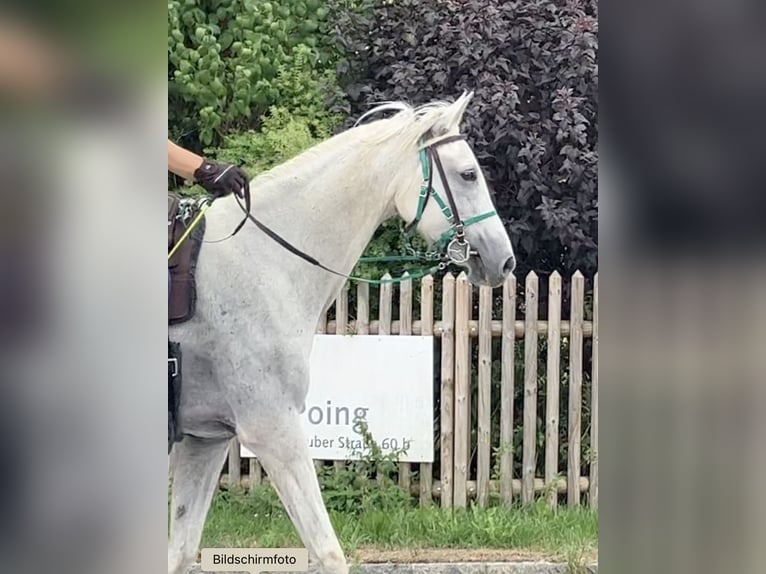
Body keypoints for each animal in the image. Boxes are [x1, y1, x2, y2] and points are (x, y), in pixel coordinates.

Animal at [168, 92, 516, 572]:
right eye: (468, 174)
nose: (505, 260)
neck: (265, 260)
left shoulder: (205, 440)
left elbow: (180, 553)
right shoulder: (274, 431)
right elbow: (329, 553)